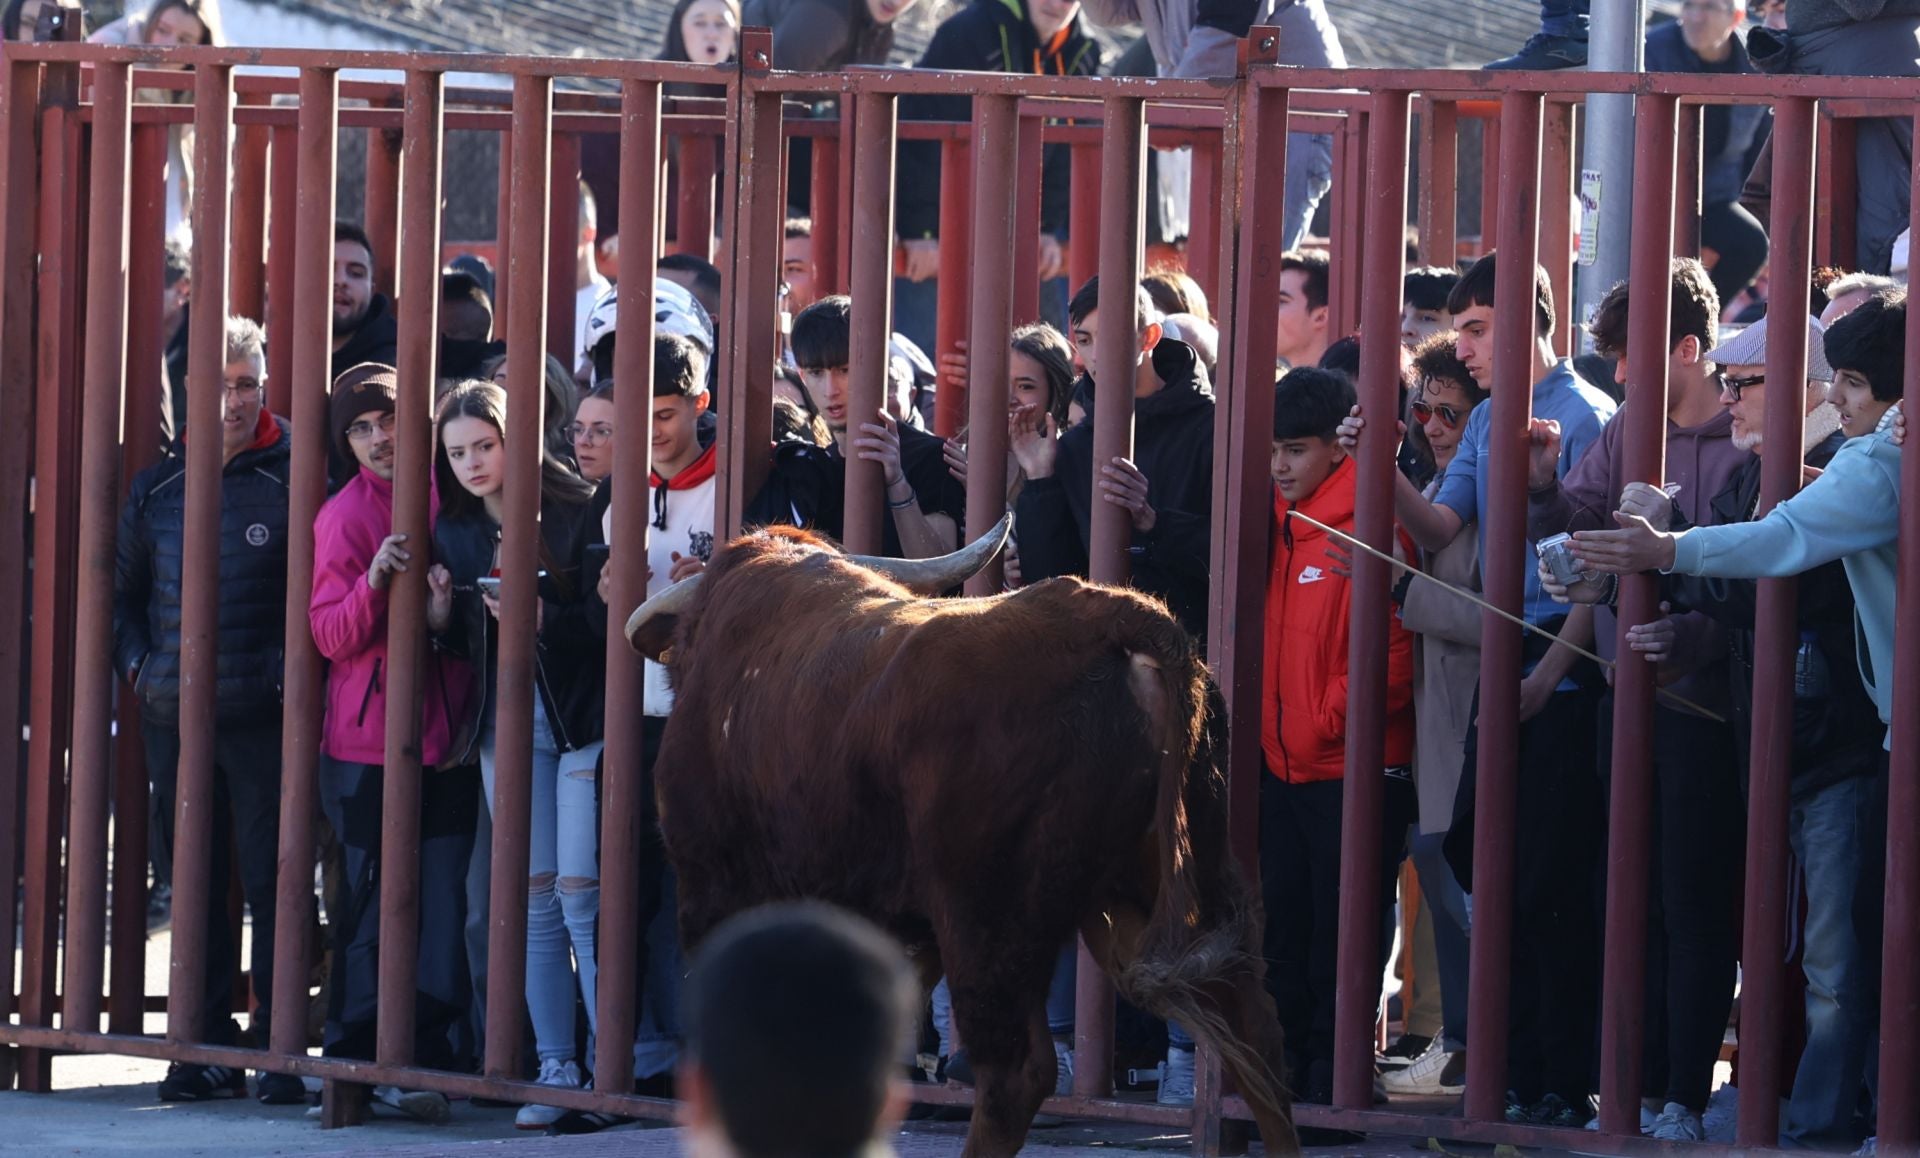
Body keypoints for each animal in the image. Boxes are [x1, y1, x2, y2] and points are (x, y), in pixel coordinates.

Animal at [622, 518, 1297, 1158]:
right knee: (1256, 1035)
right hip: (1163, 888)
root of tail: (1106, 616)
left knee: (1015, 1075)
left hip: (991, 920)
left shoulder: (712, 896)